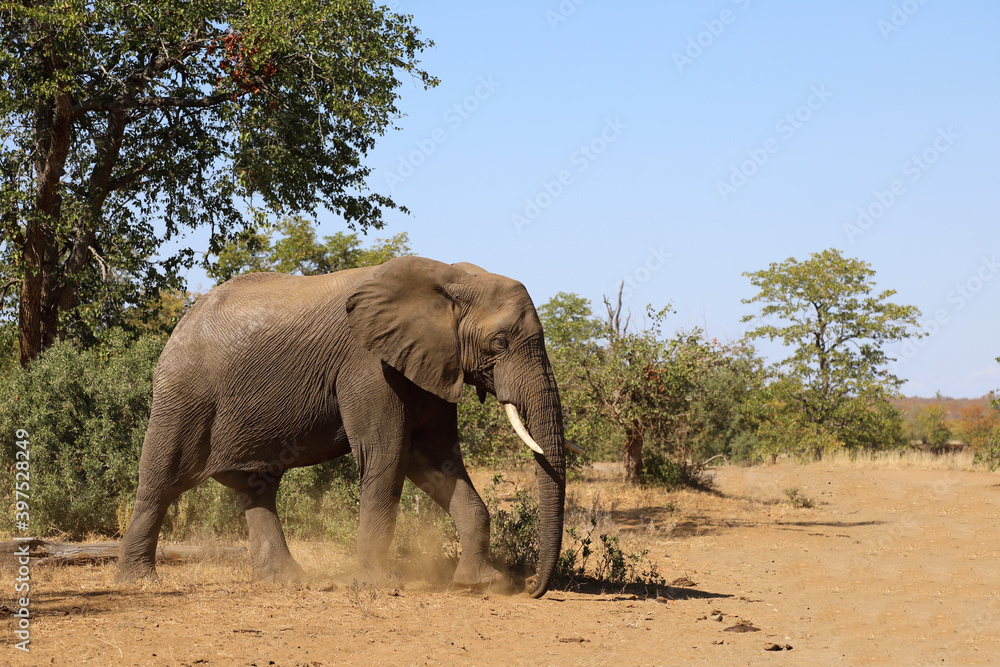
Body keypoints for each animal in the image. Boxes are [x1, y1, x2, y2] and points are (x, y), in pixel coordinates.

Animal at [115, 256, 574, 598]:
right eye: (499, 343)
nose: (530, 586)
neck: (450, 277)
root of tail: (181, 321)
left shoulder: (432, 364)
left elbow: (436, 460)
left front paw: (482, 585)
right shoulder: (368, 365)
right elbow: (387, 457)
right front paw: (380, 585)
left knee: (256, 487)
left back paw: (287, 580)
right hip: (184, 390)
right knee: (160, 478)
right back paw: (139, 581)